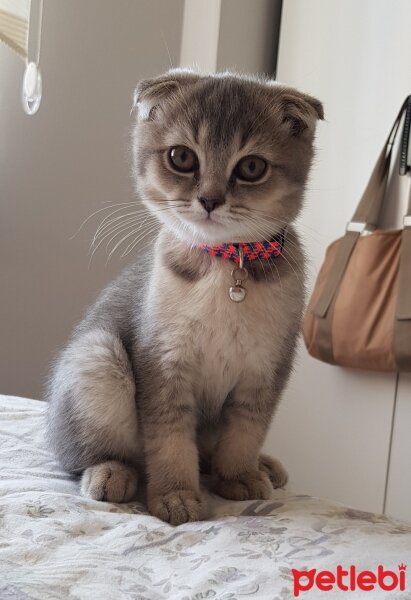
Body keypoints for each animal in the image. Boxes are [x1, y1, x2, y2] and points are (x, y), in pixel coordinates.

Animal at [47, 68, 326, 524]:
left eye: (252, 167)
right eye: (182, 157)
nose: (210, 199)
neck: (225, 270)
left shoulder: (266, 367)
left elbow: (246, 430)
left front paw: (238, 474)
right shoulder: (163, 362)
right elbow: (170, 439)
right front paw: (176, 495)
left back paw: (261, 466)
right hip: (99, 356)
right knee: (78, 455)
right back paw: (110, 471)